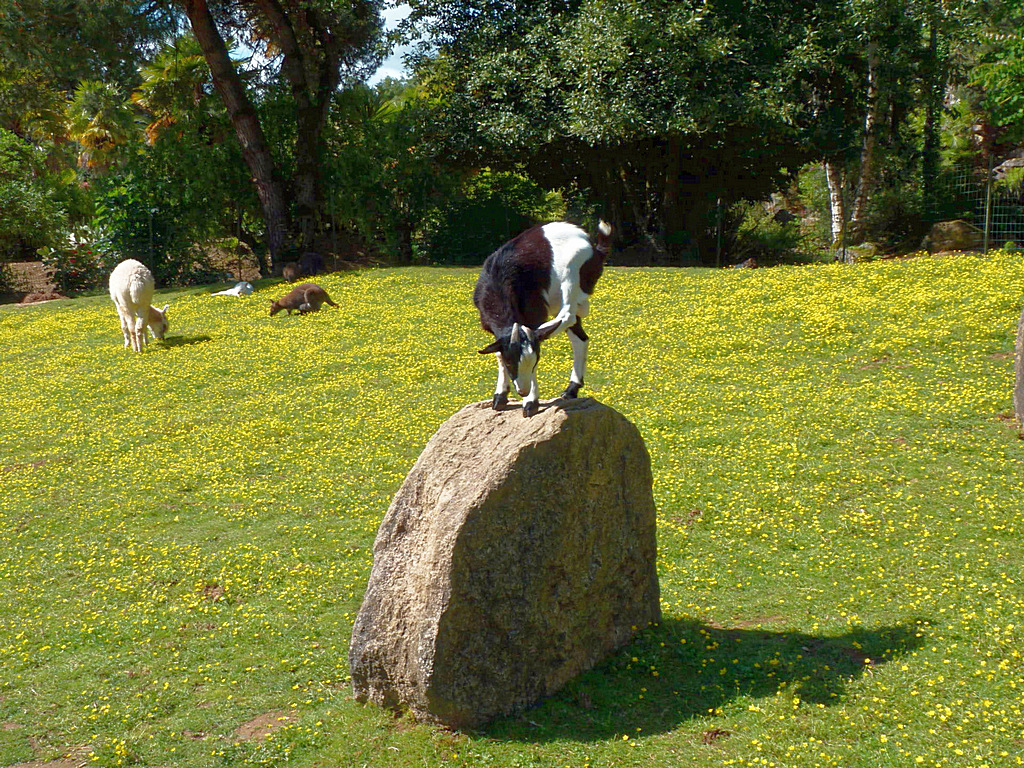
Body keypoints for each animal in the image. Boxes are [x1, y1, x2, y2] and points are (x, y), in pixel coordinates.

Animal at [475, 219, 610, 417]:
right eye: (510, 361)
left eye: (535, 361)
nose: (523, 391)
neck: (498, 280)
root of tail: (595, 248)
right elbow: (498, 351)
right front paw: (500, 396)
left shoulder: (534, 314)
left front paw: (530, 402)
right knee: (580, 338)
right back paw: (571, 390)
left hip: (572, 275)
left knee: (567, 315)